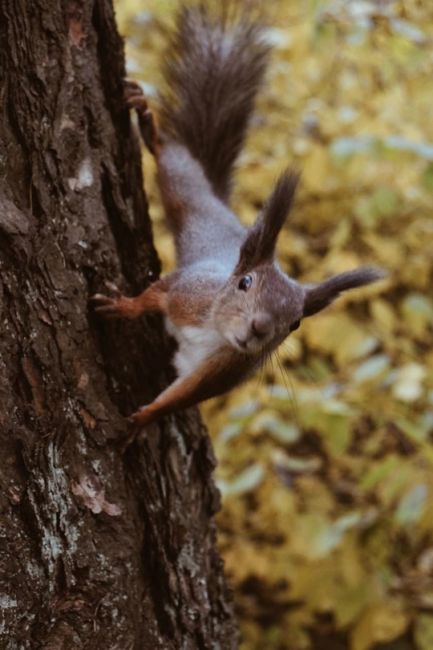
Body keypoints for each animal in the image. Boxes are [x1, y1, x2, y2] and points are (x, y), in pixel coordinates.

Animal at [91, 6, 382, 430]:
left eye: (295, 323)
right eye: (245, 283)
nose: (259, 328)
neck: (217, 332)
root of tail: (226, 210)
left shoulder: (220, 373)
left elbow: (178, 397)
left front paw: (141, 421)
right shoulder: (189, 292)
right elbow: (154, 294)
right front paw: (123, 305)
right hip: (190, 197)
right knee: (175, 164)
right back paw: (149, 125)